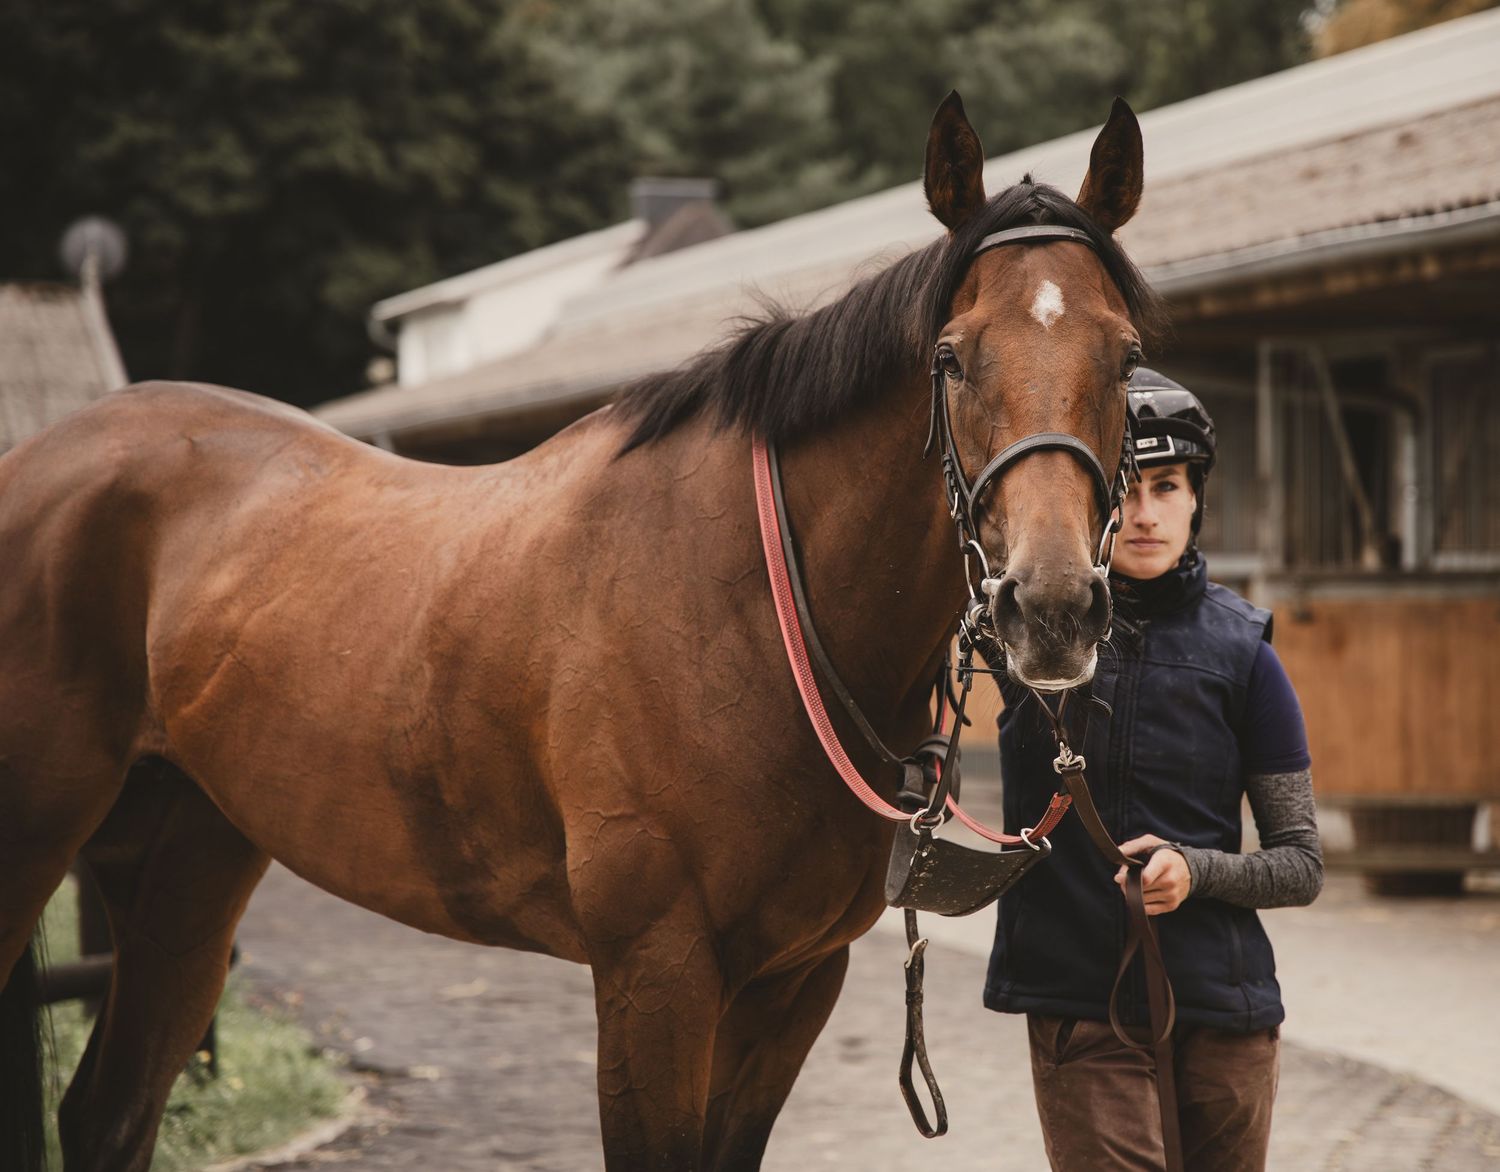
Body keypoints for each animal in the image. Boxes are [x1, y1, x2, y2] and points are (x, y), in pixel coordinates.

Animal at [0, 93, 1160, 1171]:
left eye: (1126, 355)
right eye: (952, 357)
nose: (1053, 607)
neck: (748, 608)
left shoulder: (793, 982)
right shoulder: (657, 971)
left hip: (189, 851)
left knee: (105, 1113)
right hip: (40, 831)